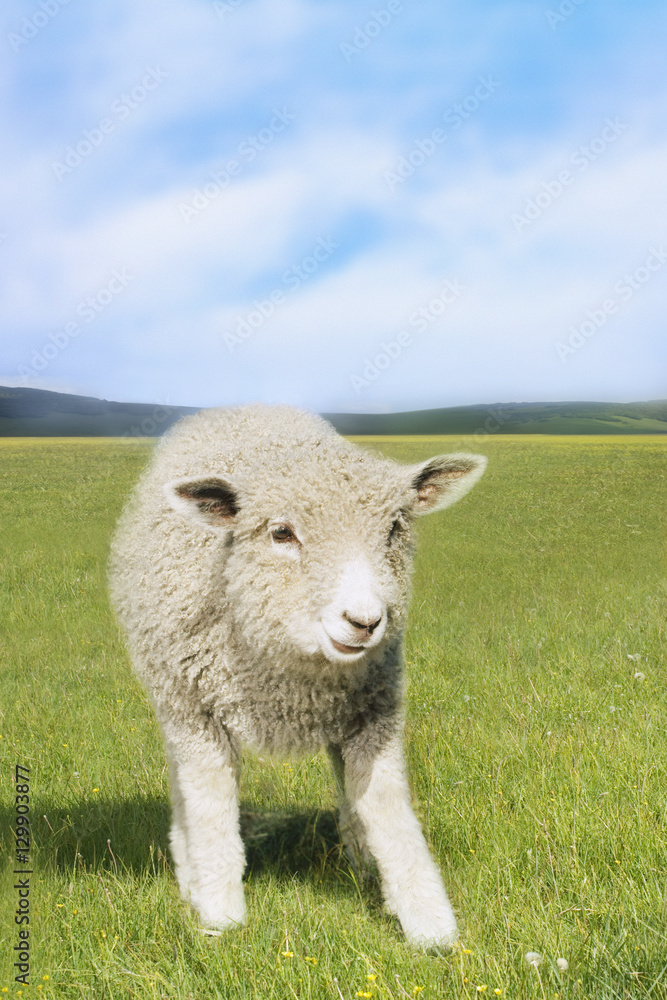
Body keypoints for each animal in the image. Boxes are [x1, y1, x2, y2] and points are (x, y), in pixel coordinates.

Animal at [108, 404, 487, 949]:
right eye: (281, 533)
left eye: (394, 529)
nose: (365, 621)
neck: (289, 679)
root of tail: (240, 408)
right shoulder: (199, 714)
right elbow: (210, 805)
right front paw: (220, 915)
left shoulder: (376, 709)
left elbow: (386, 803)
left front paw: (428, 921)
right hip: (173, 699)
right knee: (184, 781)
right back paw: (189, 868)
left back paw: (360, 859)